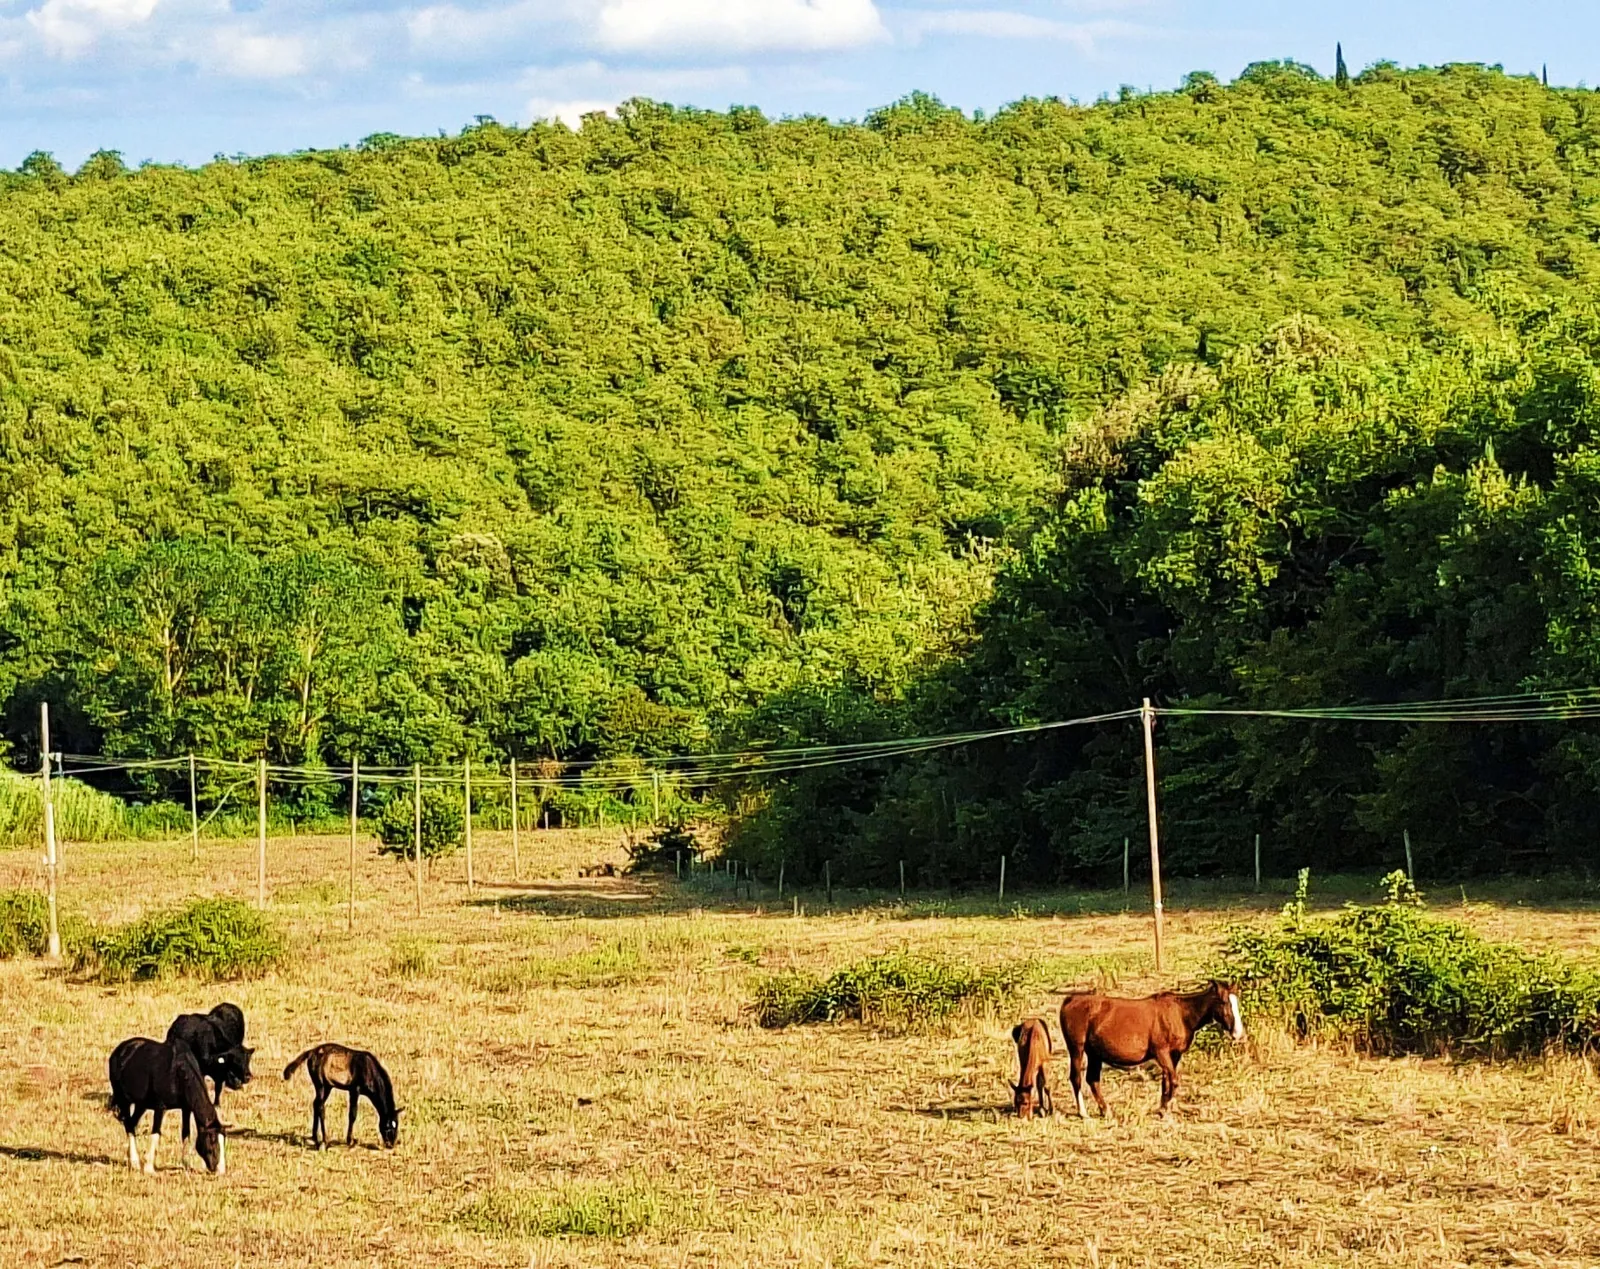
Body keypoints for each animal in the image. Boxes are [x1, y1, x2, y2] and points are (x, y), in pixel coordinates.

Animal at [108, 1037, 228, 1174]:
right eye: (212, 1139)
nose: (218, 1169)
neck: (177, 1072)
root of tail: (120, 1050)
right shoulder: (160, 1107)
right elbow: (156, 1133)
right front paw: (149, 1168)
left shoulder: (186, 1108)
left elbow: (185, 1133)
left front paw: (186, 1164)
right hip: (124, 1101)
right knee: (128, 1124)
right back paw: (135, 1162)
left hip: (141, 1105)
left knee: (132, 1124)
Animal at [1059, 980, 1245, 1118]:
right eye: (1224, 1002)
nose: (1239, 1034)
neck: (1181, 1014)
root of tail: (1071, 999)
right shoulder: (1161, 1053)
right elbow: (1174, 1080)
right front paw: (1165, 1107)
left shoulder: (1174, 1055)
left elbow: (1167, 1080)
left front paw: (1163, 1108)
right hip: (1076, 1049)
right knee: (1076, 1078)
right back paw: (1083, 1113)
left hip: (1094, 1054)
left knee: (1092, 1080)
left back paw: (1105, 1110)